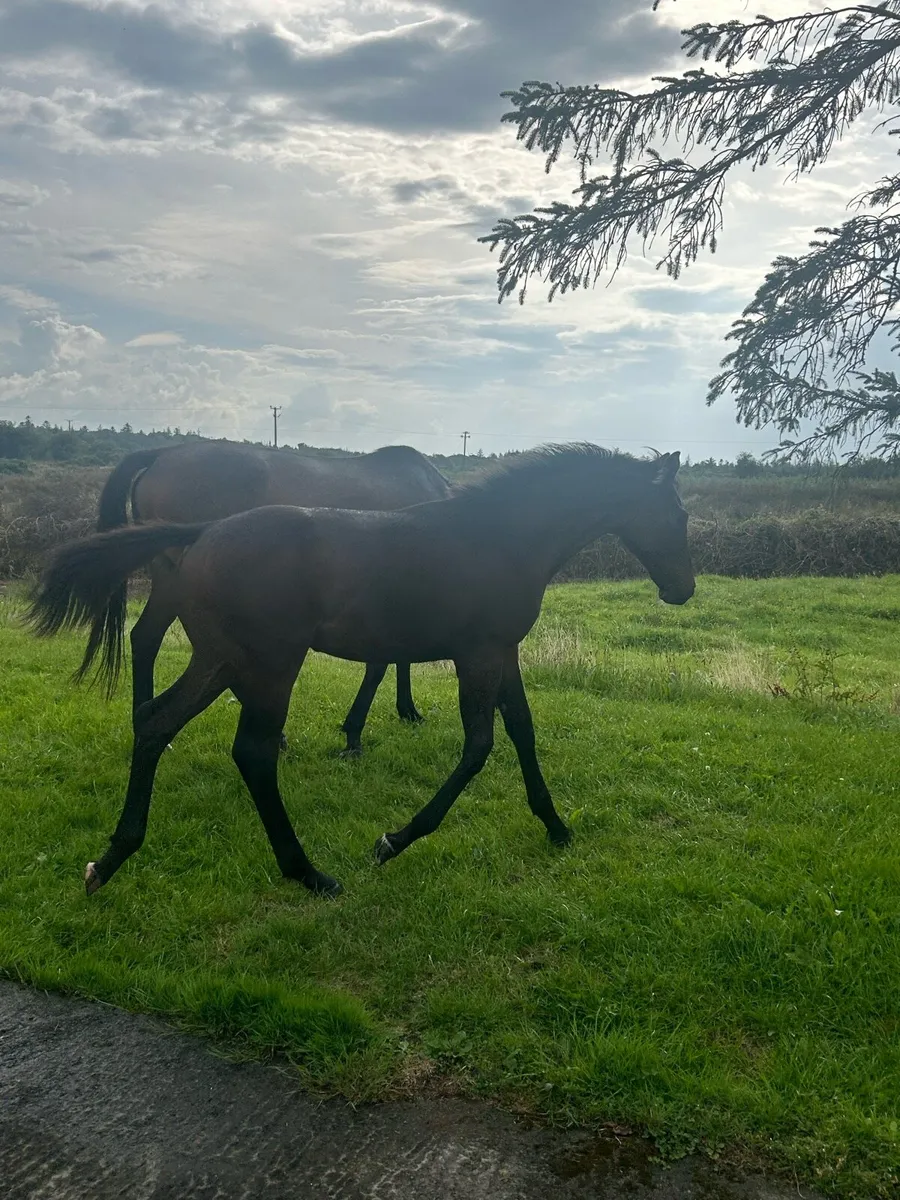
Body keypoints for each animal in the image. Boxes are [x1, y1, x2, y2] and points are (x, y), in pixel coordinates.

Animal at [96, 440, 451, 754]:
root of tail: (163, 454)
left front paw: (407, 711)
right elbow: (380, 667)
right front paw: (356, 733)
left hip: (170, 577)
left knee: (145, 637)